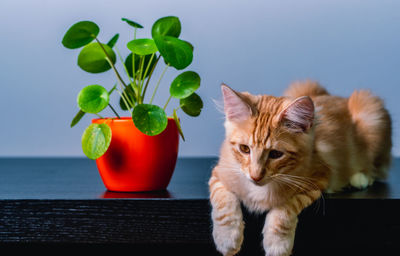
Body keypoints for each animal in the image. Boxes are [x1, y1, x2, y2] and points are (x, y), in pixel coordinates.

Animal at [209, 81, 390, 255]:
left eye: (275, 154)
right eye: (244, 149)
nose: (255, 176)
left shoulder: (317, 178)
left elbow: (285, 209)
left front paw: (278, 244)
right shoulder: (219, 173)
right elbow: (224, 204)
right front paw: (227, 239)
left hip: (372, 112)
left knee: (377, 167)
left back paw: (360, 178)